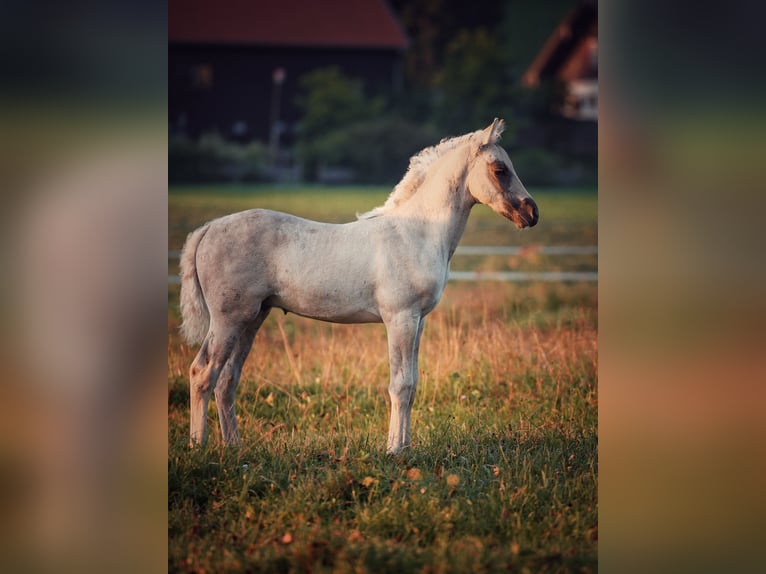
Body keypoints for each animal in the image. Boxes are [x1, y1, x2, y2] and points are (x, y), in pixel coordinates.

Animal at [179, 118, 538, 453]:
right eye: (500, 169)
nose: (531, 213)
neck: (417, 233)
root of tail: (207, 229)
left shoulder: (418, 322)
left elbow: (413, 384)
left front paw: (406, 447)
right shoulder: (400, 318)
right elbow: (400, 385)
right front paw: (394, 449)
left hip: (252, 318)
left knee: (226, 379)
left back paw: (234, 447)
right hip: (228, 319)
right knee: (203, 374)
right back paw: (199, 446)